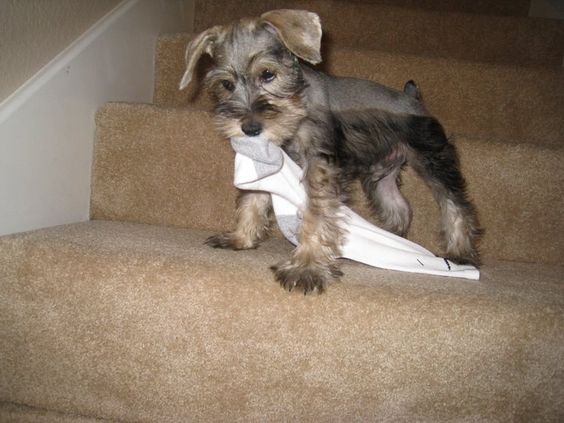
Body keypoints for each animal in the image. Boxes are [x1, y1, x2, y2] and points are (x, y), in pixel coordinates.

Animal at [181, 9, 480, 292]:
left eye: (267, 74)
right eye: (226, 85)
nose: (249, 128)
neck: (298, 100)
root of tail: (412, 97)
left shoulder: (320, 165)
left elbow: (317, 212)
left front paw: (306, 266)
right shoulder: (270, 156)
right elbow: (253, 198)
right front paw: (240, 237)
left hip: (433, 158)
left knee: (455, 203)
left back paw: (460, 252)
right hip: (380, 175)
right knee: (399, 207)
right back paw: (390, 239)